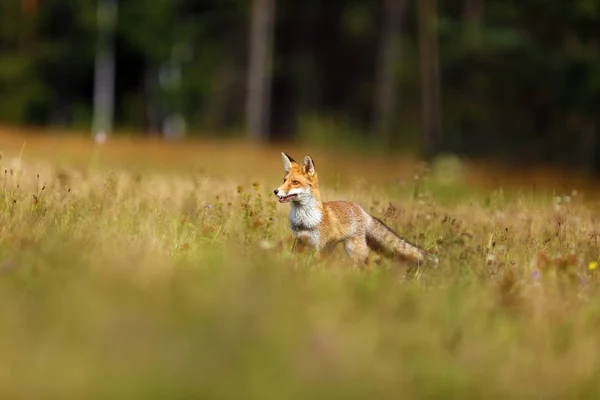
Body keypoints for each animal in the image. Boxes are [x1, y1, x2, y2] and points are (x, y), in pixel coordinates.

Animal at [274, 152, 438, 268]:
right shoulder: (300, 242)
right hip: (332, 248)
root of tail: (364, 212)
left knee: (367, 264)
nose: (275, 191)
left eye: (295, 182)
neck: (305, 219)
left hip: (354, 250)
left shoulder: (317, 247)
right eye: (284, 180)